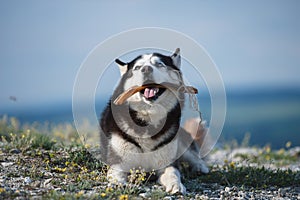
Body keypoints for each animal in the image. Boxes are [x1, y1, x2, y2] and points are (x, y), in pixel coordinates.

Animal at [101, 48, 209, 194]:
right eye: (137, 67)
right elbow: (116, 173)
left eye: (159, 64)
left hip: (181, 143)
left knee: (194, 155)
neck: (148, 120)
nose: (146, 69)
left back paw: (200, 167)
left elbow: (173, 172)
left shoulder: (167, 163)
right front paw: (118, 184)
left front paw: (176, 185)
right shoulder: (118, 160)